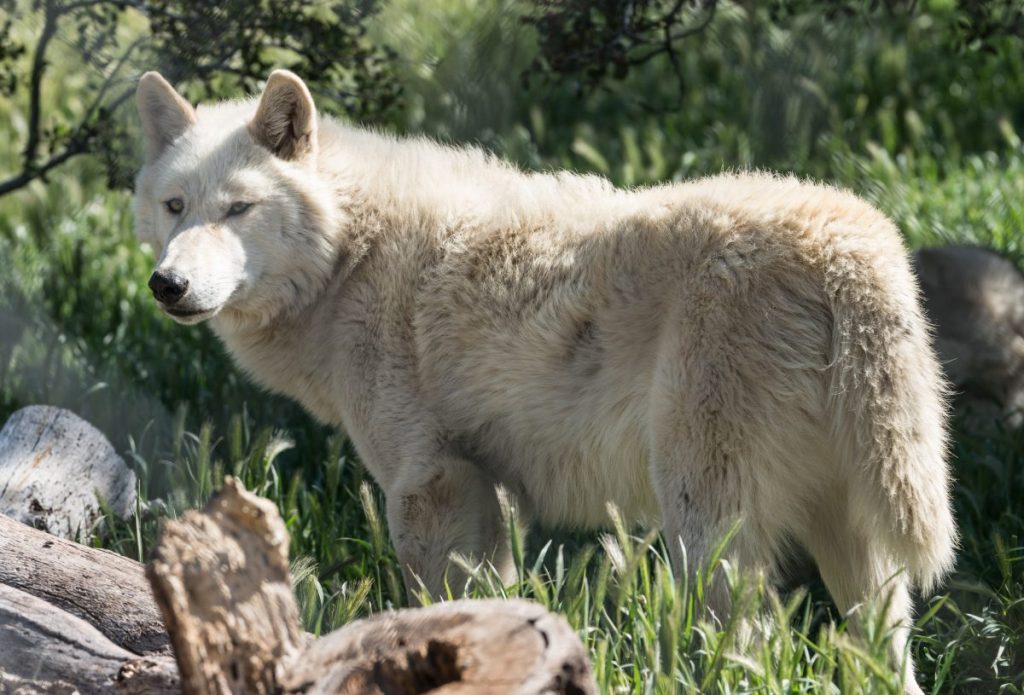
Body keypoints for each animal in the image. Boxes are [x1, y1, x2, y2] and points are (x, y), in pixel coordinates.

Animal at [134, 69, 955, 692]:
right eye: (175, 206)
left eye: (238, 208)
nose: (167, 285)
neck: (351, 254)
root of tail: (848, 242)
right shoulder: (484, 491)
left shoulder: (429, 482)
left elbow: (437, 607)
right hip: (850, 540)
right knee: (883, 655)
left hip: (705, 522)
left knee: (746, 647)